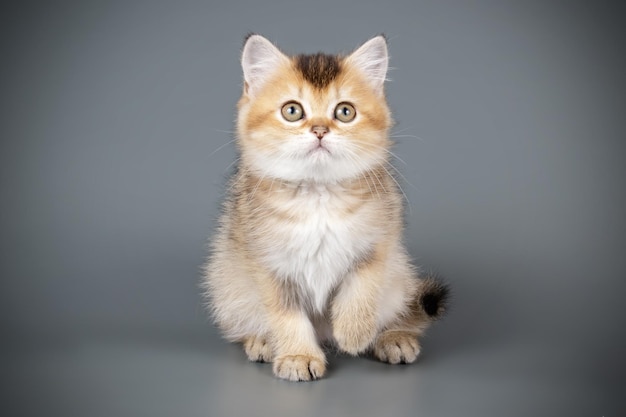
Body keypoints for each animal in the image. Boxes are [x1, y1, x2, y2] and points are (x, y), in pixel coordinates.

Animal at [202, 35, 446, 380]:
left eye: (345, 112)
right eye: (292, 111)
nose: (319, 130)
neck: (318, 195)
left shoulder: (380, 240)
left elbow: (363, 286)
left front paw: (355, 331)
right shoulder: (267, 263)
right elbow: (285, 314)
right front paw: (298, 355)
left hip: (401, 274)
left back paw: (393, 337)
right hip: (227, 281)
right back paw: (262, 341)